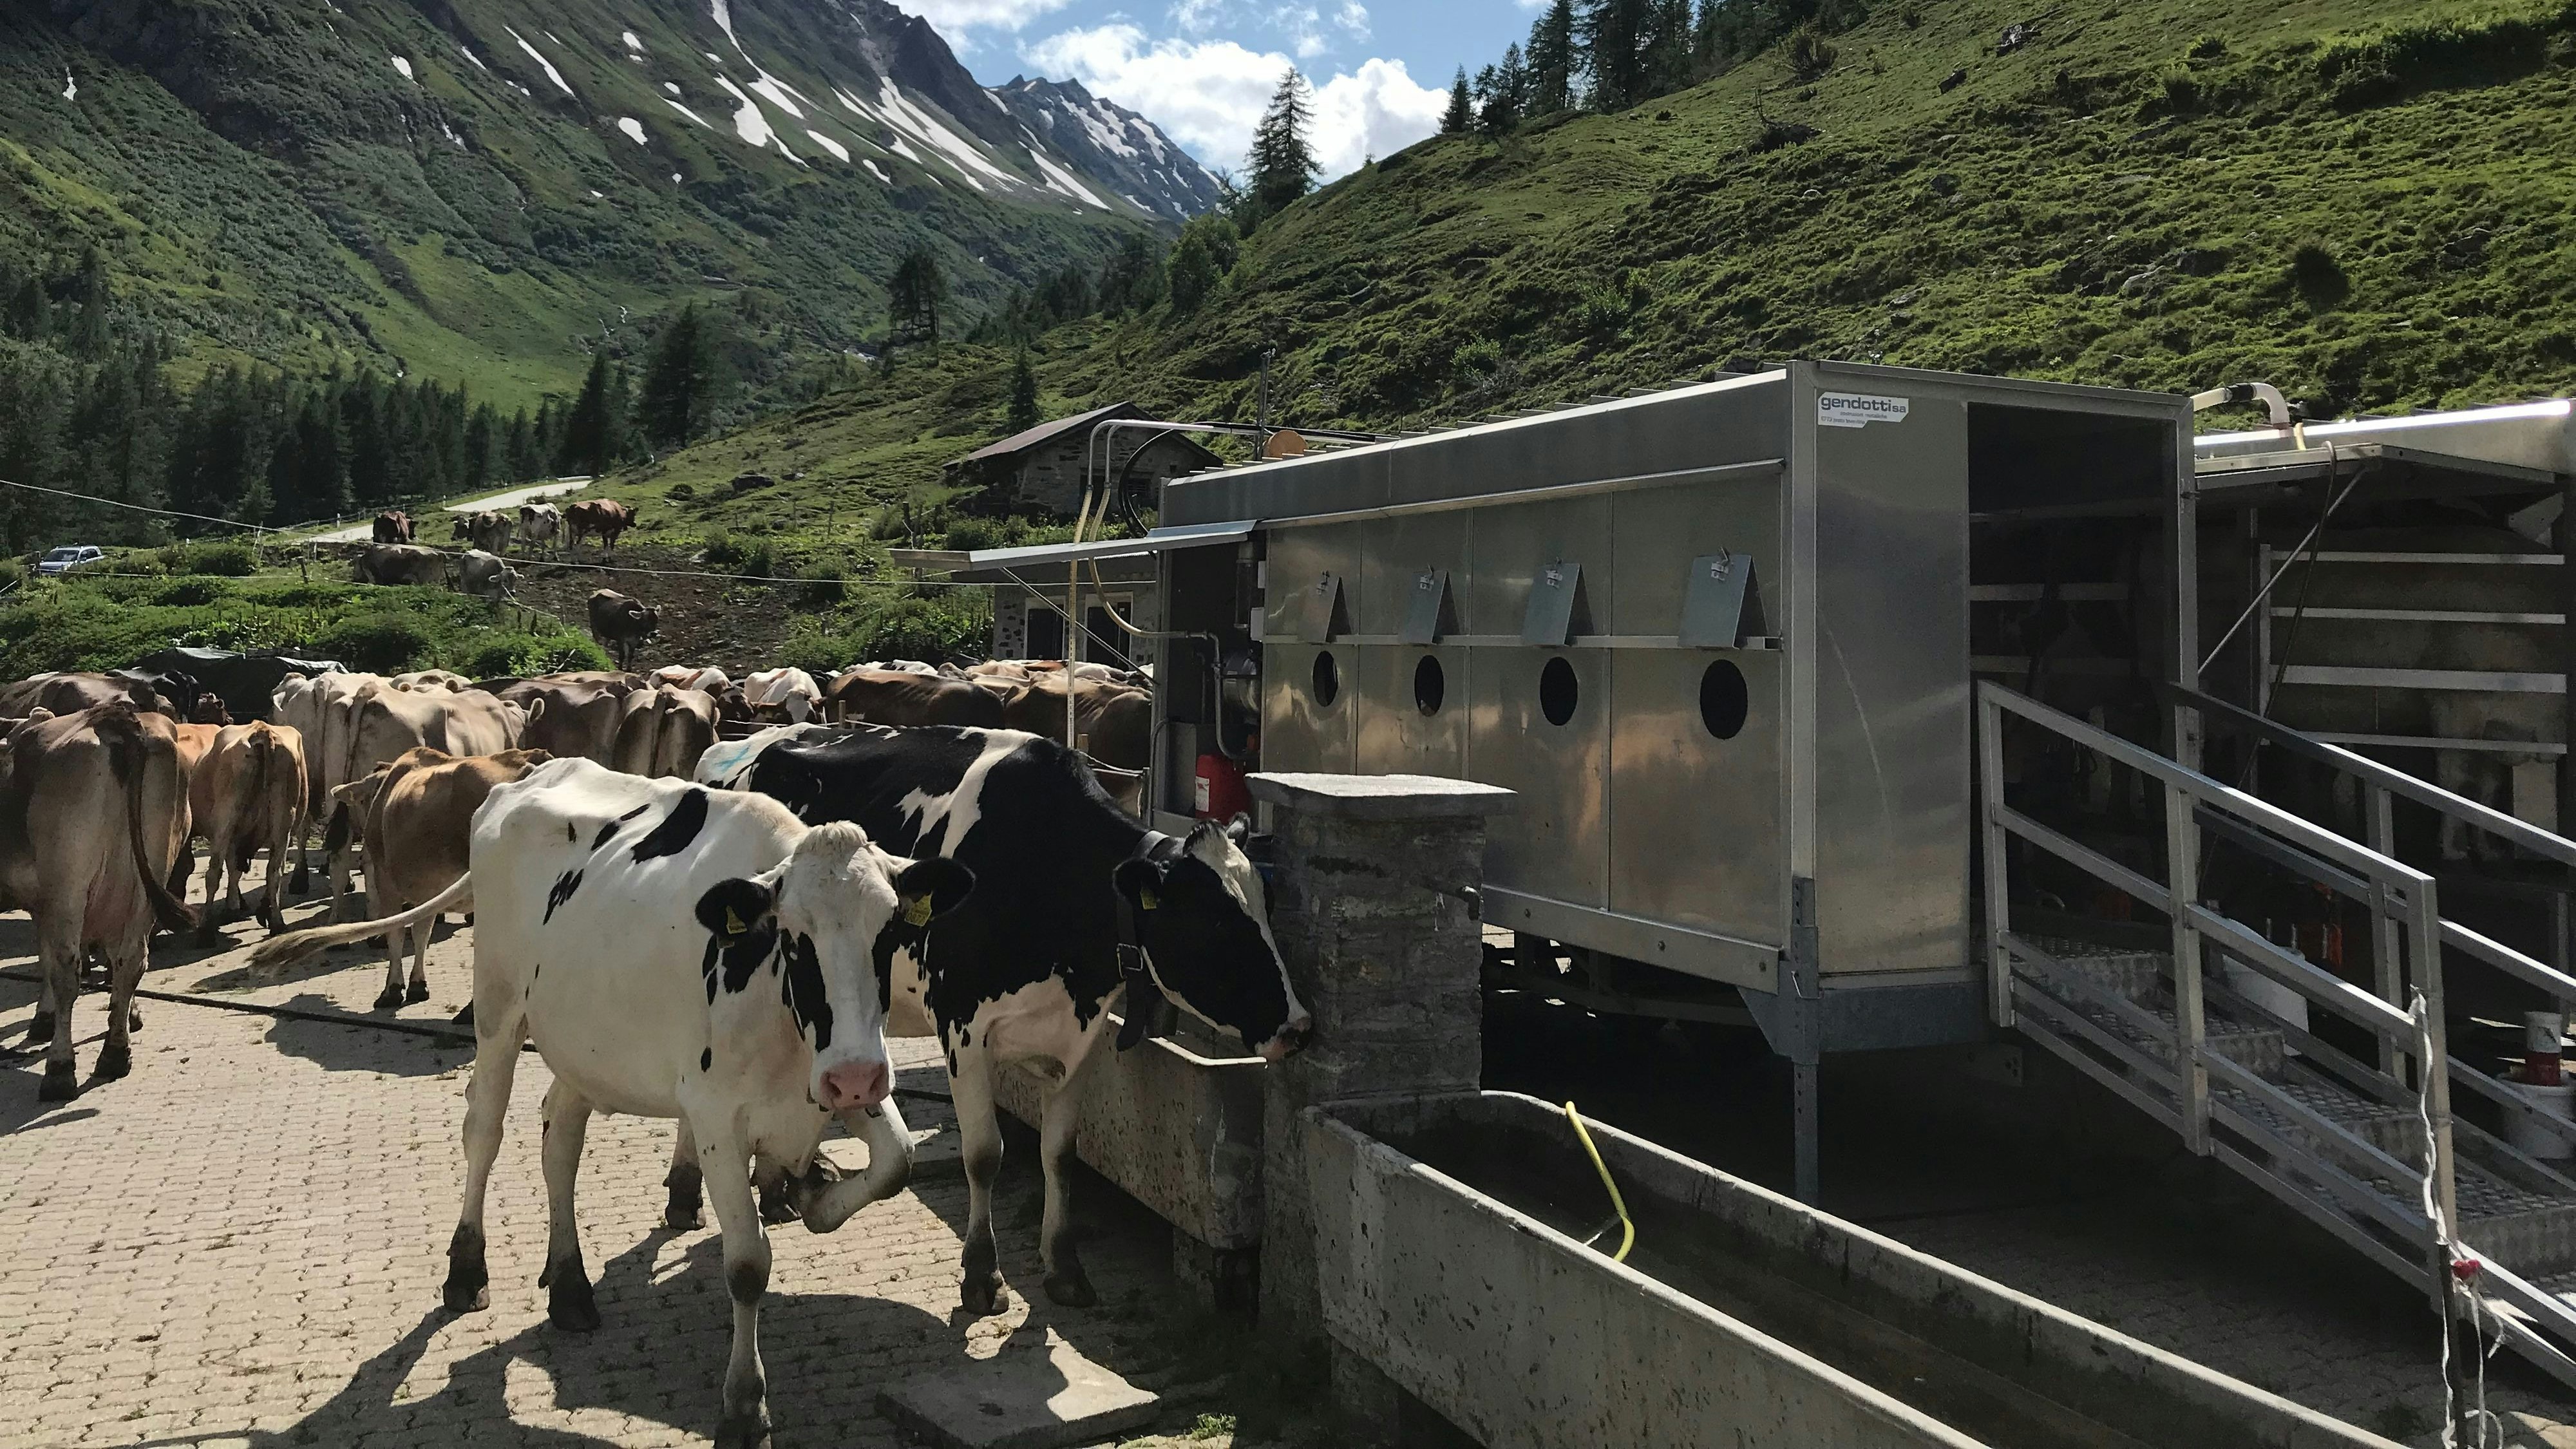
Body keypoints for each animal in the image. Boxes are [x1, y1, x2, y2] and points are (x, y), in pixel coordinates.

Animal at [3, 703, 198, 1098]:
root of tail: (113, 718)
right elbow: (112, 959)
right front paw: (129, 1016)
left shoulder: (48, 902)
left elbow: (48, 960)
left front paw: (43, 1020)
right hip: (148, 875)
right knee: (133, 959)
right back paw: (115, 1053)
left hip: (69, 882)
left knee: (67, 971)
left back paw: (60, 1070)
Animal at [187, 722, 306, 940]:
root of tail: (261, 730)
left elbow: (233, 869)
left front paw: (234, 906)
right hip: (283, 818)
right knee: (274, 871)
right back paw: (277, 923)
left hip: (226, 815)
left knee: (214, 872)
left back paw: (205, 930)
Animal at [328, 746, 550, 1007]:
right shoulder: (428, 890)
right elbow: (422, 931)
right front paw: (417, 984)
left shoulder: (386, 881)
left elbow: (396, 933)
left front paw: (392, 989)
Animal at [717, 726, 1310, 1313]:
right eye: (1216, 924)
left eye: (1268, 904)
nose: (1300, 1028)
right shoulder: (962, 1030)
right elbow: (984, 1155)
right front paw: (982, 1276)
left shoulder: (1080, 1036)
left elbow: (1061, 1153)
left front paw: (1064, 1268)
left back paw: (784, 1186)